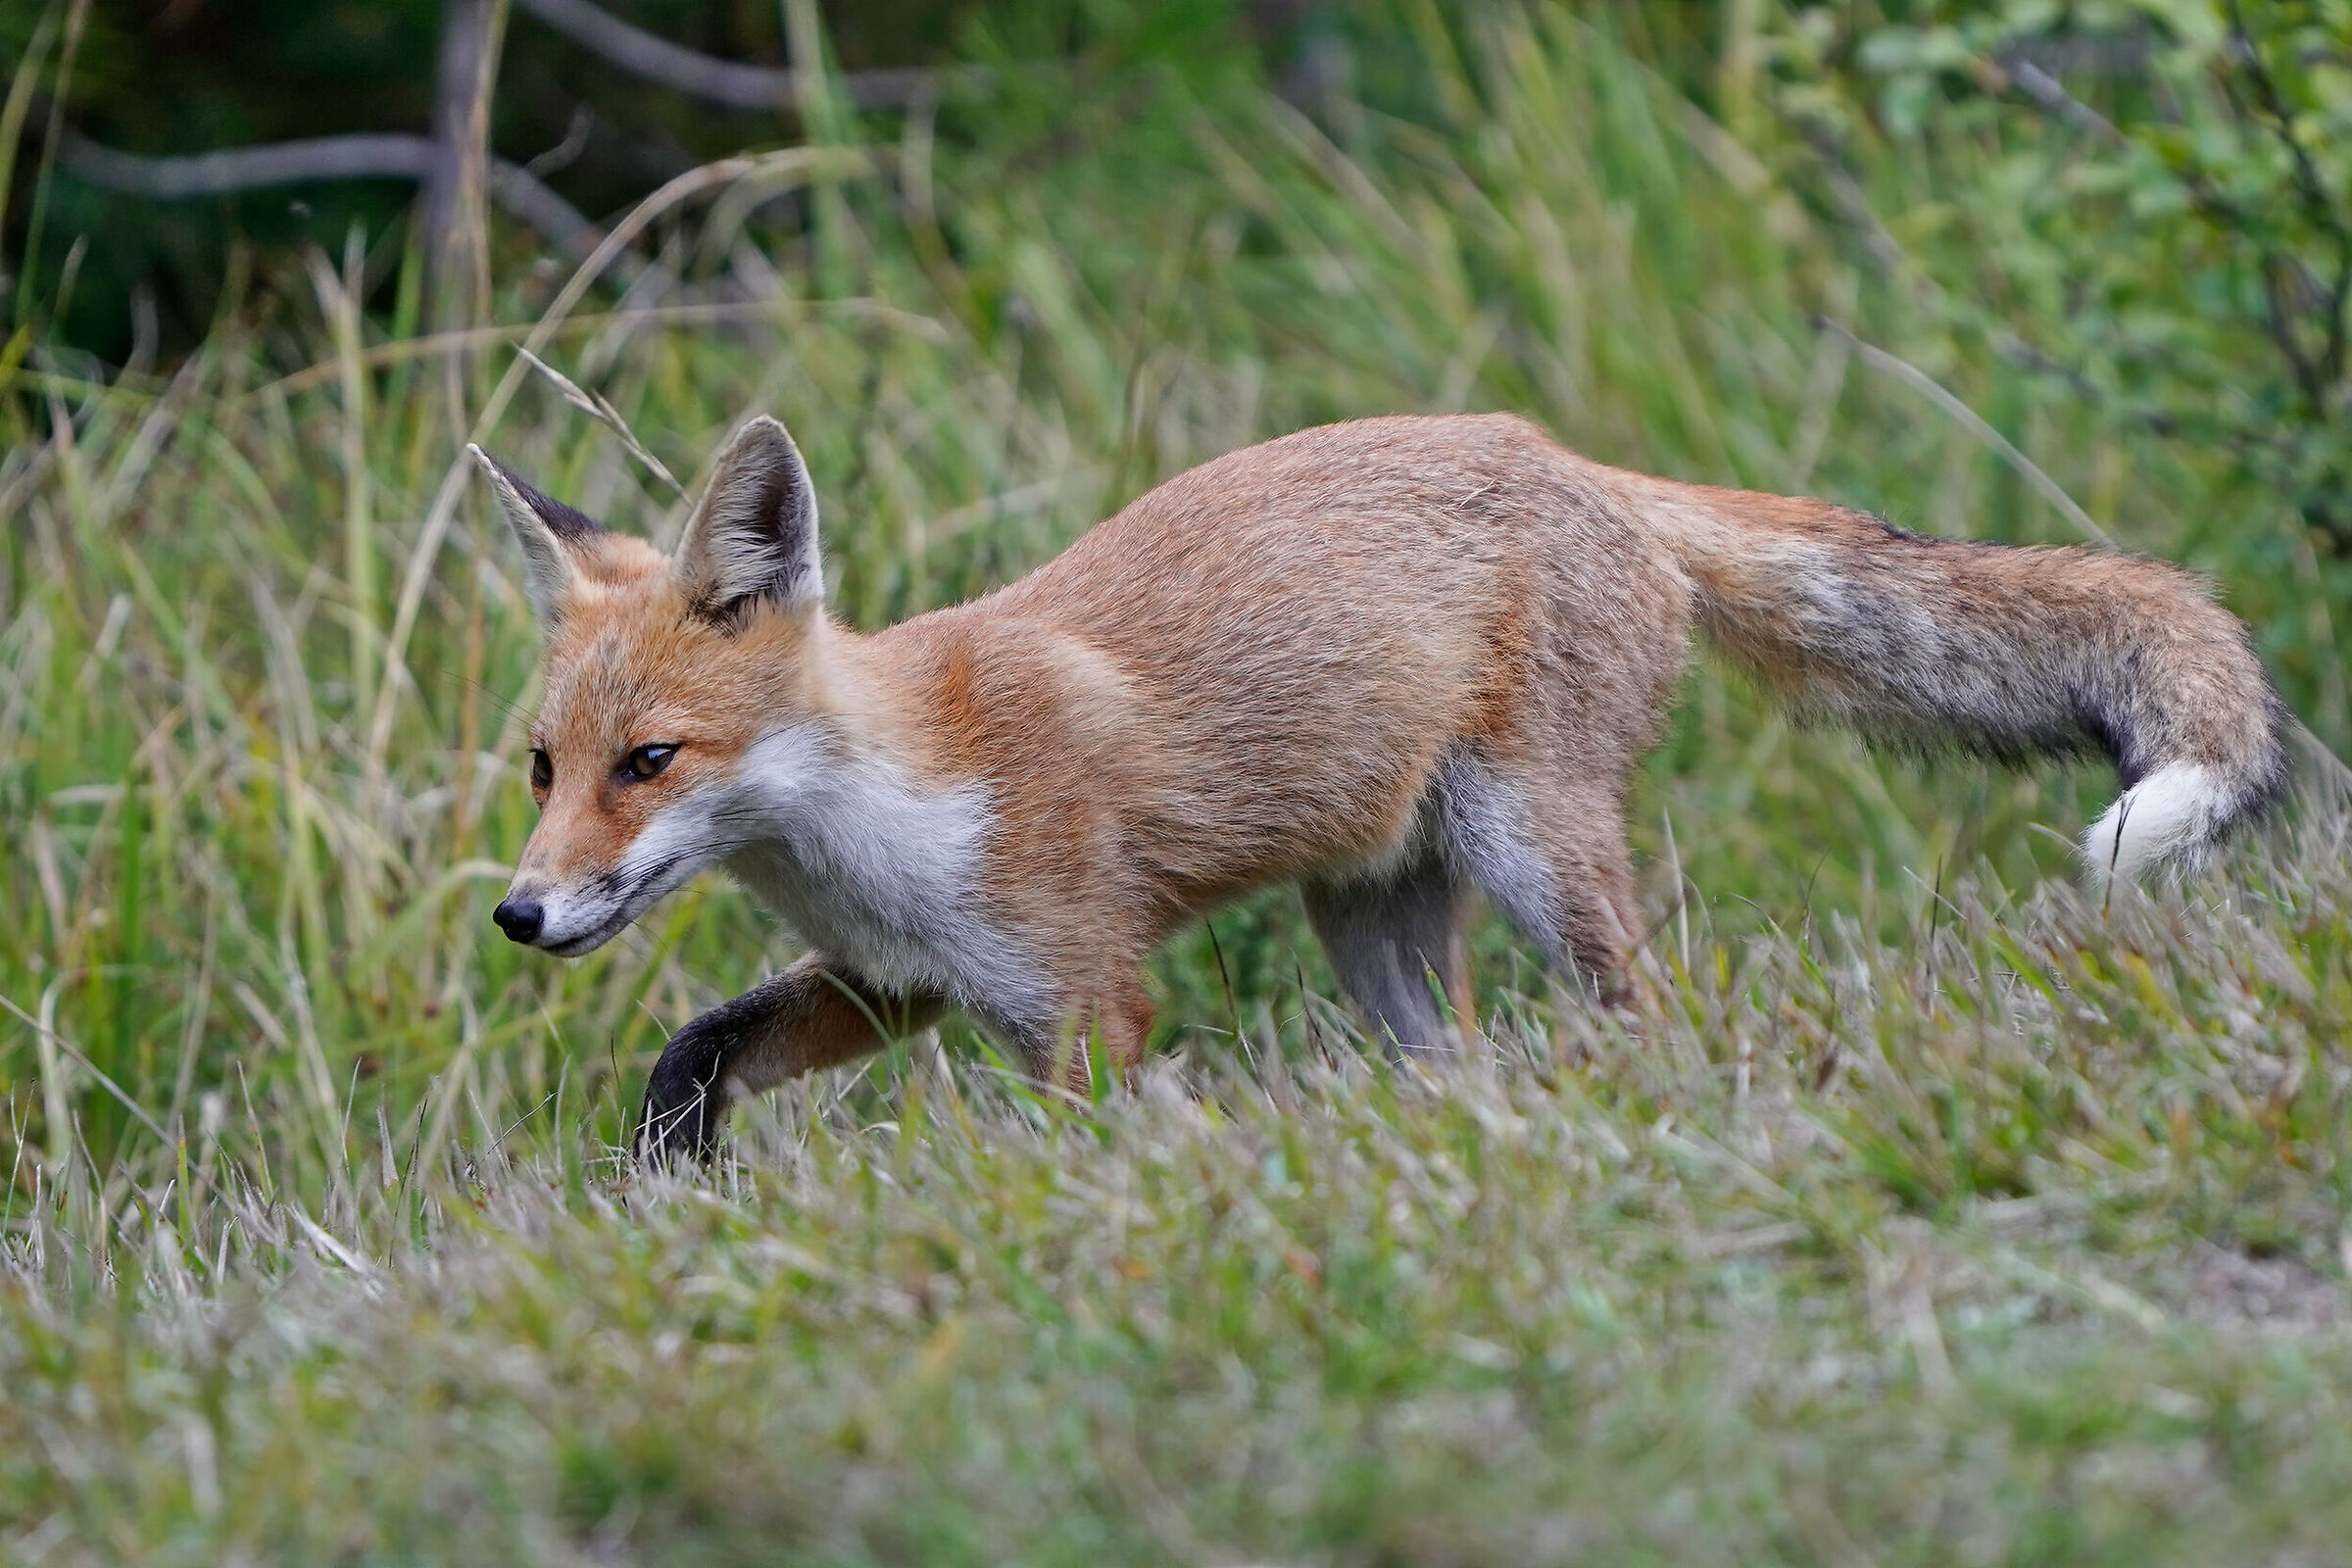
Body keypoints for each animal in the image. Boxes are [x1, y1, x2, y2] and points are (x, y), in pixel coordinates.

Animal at [471, 412, 2288, 1164]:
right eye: (547, 766)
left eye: (652, 763)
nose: (520, 912)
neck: (881, 813)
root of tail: (1570, 457)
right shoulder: (903, 982)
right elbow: (701, 1044)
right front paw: (669, 1174)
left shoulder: (1084, 996)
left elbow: (1081, 1140)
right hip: (1380, 926)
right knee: (1452, 1062)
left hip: (1535, 847)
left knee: (1645, 1008)